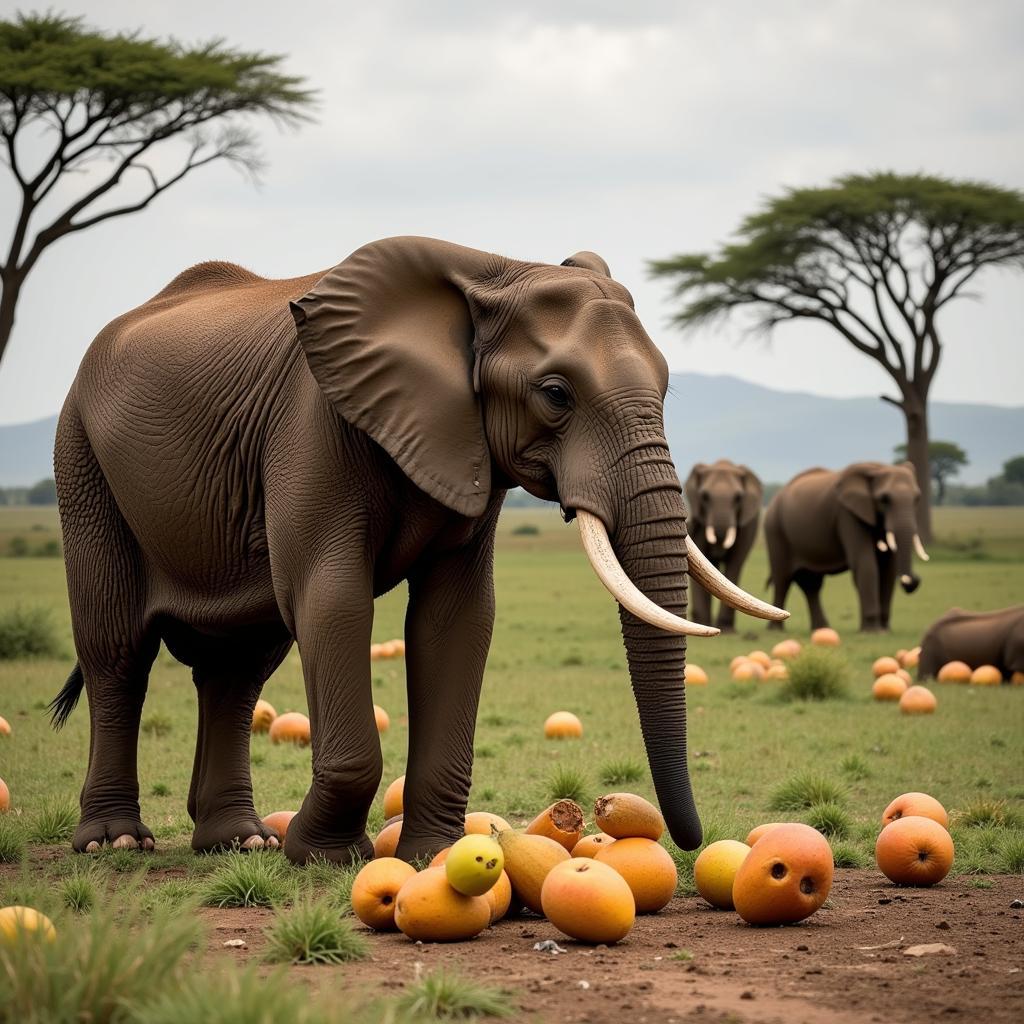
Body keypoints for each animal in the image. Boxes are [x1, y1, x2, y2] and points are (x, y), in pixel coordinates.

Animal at [684, 458, 765, 630]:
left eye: (738, 498)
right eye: (705, 496)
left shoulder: (746, 525)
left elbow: (736, 561)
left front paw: (726, 628)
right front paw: (704, 623)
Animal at [770, 464, 929, 630]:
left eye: (917, 498)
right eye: (884, 499)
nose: (911, 582)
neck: (876, 467)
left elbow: (888, 569)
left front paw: (885, 630)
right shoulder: (847, 514)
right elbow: (865, 563)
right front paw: (873, 631)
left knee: (811, 583)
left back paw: (822, 628)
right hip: (775, 529)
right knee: (782, 578)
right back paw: (776, 630)